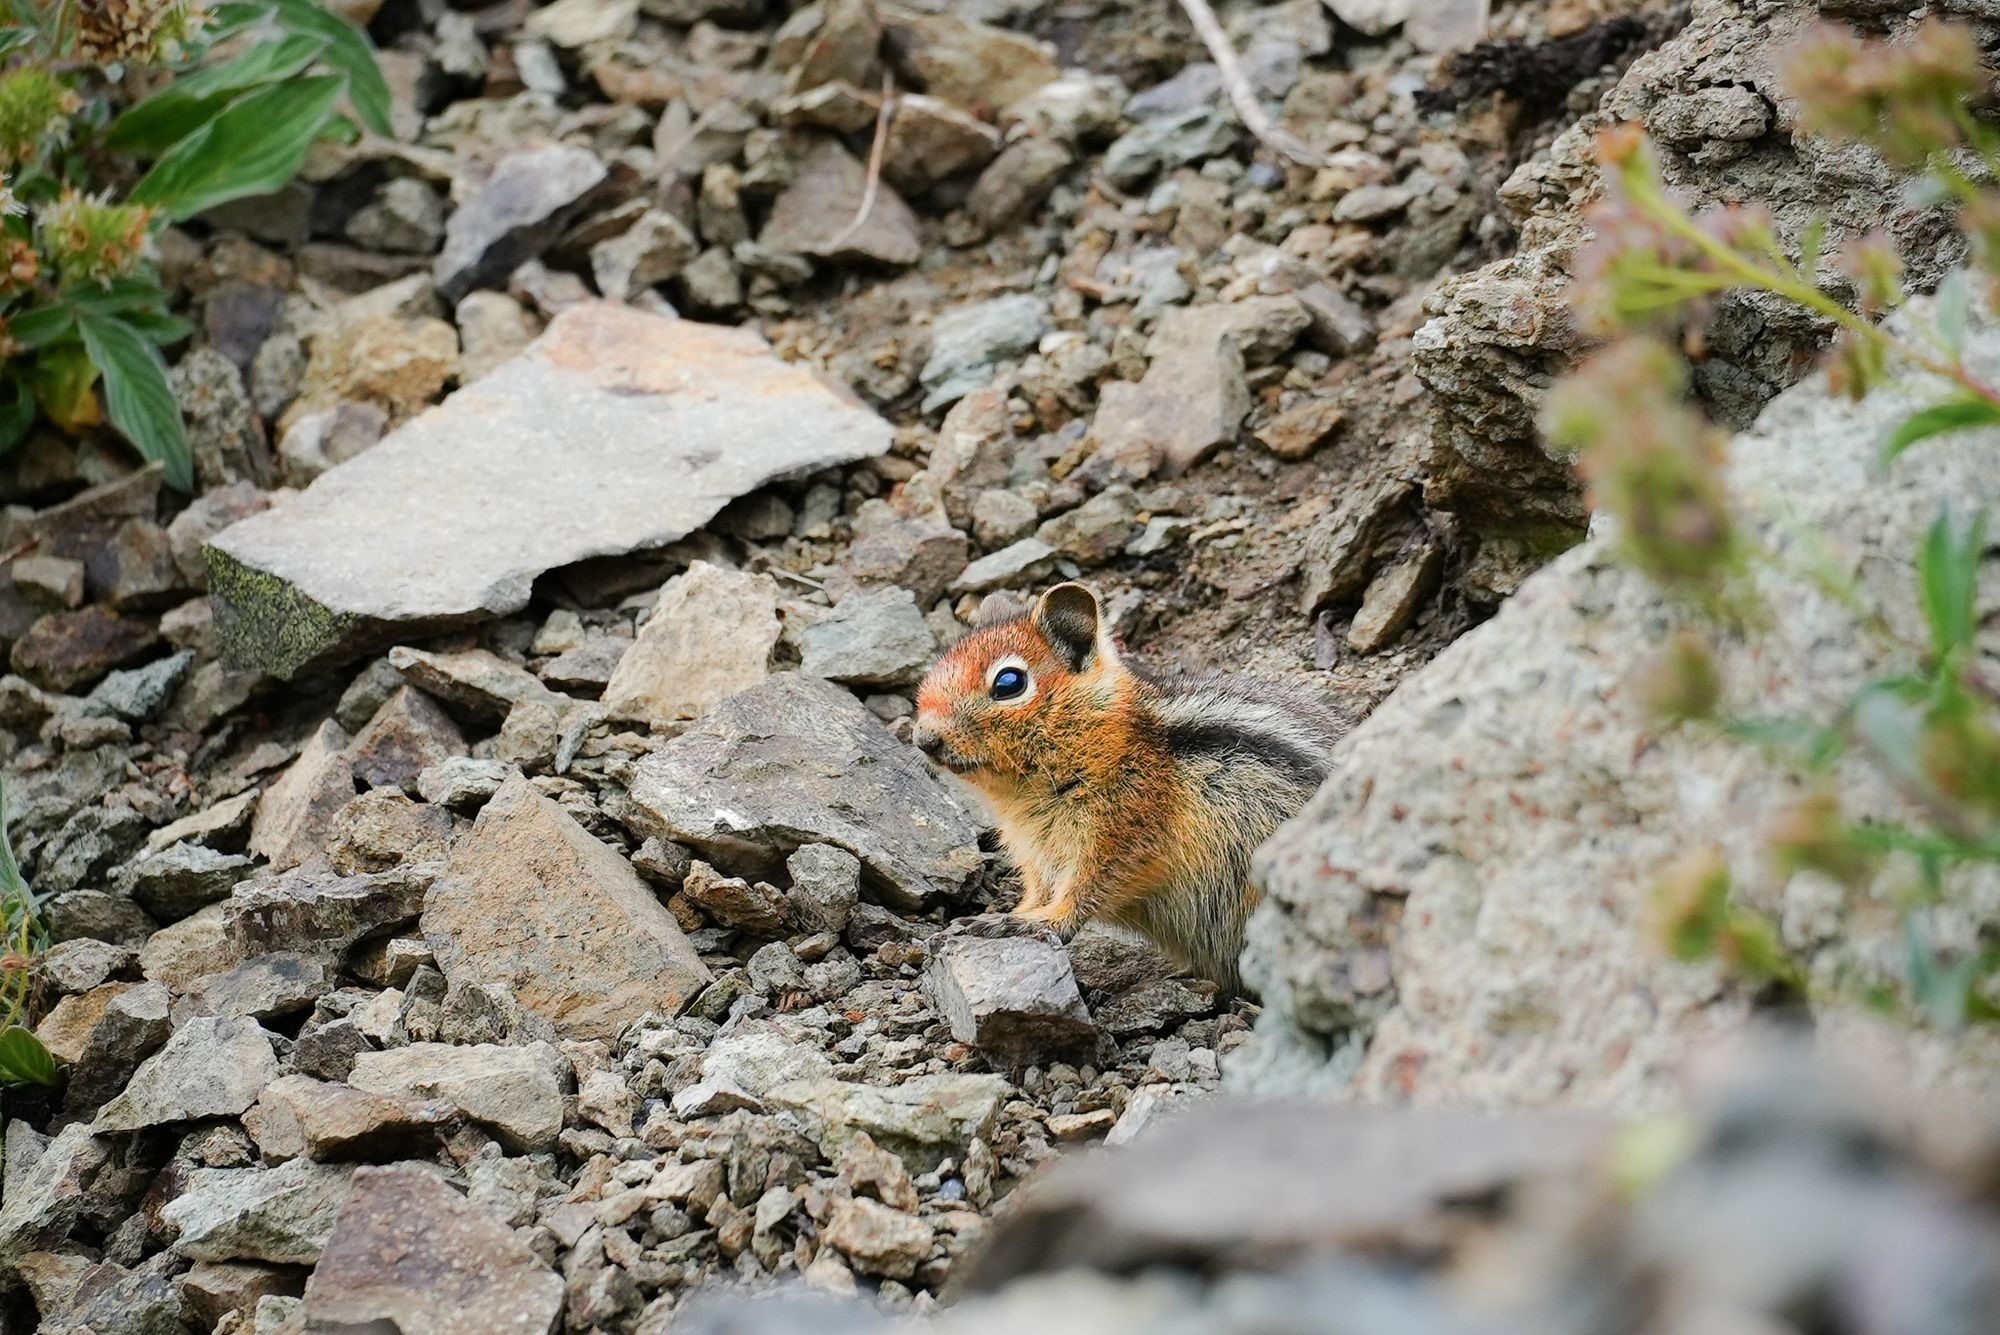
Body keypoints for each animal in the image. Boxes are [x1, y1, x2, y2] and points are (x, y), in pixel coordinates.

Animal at [913, 582, 1346, 996]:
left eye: (1008, 683)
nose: (923, 738)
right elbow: (1038, 890)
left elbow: (1085, 892)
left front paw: (1037, 922)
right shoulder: (1036, 857)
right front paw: (1008, 915)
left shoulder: (1123, 838)